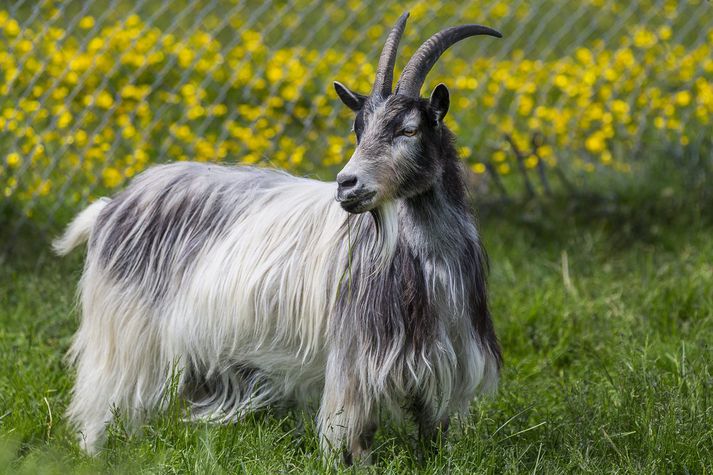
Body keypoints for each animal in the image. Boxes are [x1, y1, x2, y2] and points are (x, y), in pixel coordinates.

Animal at [54, 13, 500, 464]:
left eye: (409, 130)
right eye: (358, 129)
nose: (347, 185)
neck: (426, 261)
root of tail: (112, 205)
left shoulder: (444, 359)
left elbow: (433, 430)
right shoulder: (356, 361)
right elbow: (353, 432)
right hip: (121, 331)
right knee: (100, 398)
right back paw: (94, 452)